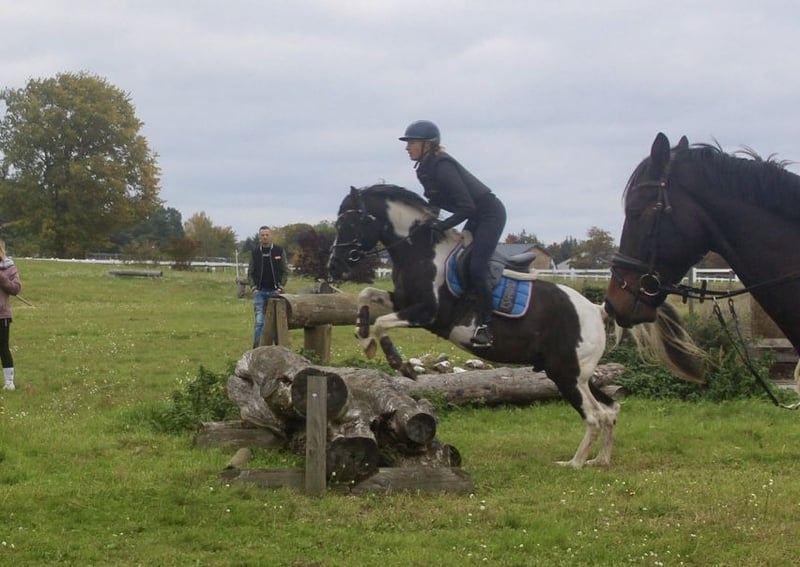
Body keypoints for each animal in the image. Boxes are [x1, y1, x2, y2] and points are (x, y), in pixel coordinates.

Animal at [328, 184, 695, 468]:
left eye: (350, 222)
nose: (333, 265)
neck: (420, 250)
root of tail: (596, 310)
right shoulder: (403, 302)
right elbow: (368, 296)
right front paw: (364, 337)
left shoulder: (427, 313)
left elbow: (382, 323)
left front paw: (395, 361)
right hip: (579, 374)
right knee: (610, 409)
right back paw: (600, 460)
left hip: (566, 375)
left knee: (594, 415)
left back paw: (575, 463)